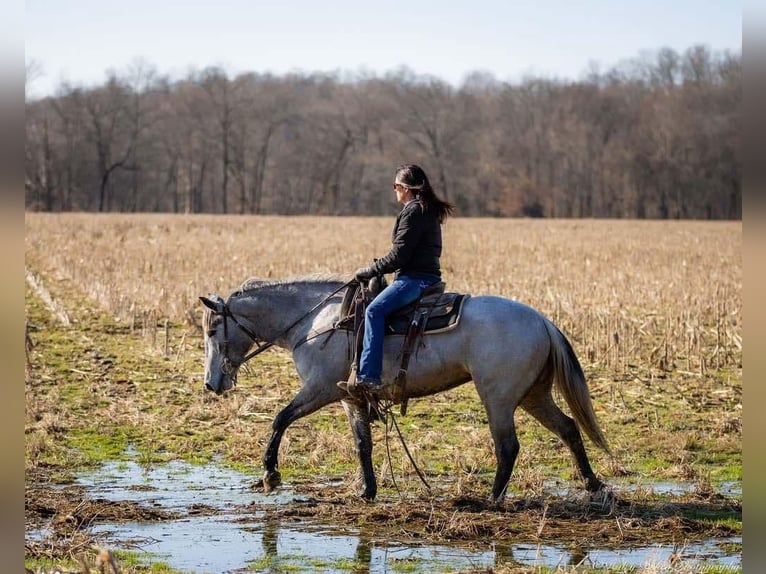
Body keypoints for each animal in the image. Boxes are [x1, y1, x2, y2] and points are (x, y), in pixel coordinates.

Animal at [202, 280, 612, 504]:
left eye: (212, 330)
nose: (211, 383)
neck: (316, 322)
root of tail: (542, 321)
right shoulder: (350, 397)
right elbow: (363, 445)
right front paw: (367, 491)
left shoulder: (321, 389)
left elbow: (281, 418)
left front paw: (270, 474)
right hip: (533, 395)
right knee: (569, 428)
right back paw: (592, 485)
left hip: (498, 398)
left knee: (508, 447)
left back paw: (492, 498)